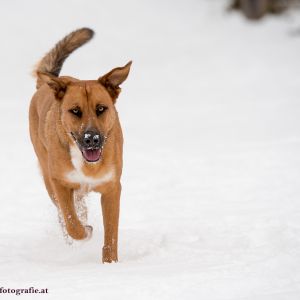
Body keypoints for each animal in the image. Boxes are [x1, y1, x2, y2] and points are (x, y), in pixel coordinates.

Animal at [29, 28, 131, 262]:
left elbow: (111, 233)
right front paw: (84, 232)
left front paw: (110, 263)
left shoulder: (112, 188)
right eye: (75, 111)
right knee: (65, 213)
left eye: (101, 108)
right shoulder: (60, 183)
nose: (91, 138)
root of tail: (47, 83)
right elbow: (71, 221)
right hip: (48, 178)